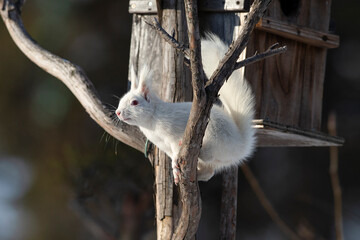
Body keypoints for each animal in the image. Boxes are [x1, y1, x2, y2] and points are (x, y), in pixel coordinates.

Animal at [115, 33, 256, 184]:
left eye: (134, 102)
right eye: (121, 101)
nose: (118, 112)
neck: (151, 121)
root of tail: (241, 144)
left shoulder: (173, 135)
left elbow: (176, 150)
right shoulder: (165, 147)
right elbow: (173, 157)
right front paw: (175, 170)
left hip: (216, 136)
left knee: (209, 155)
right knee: (209, 172)